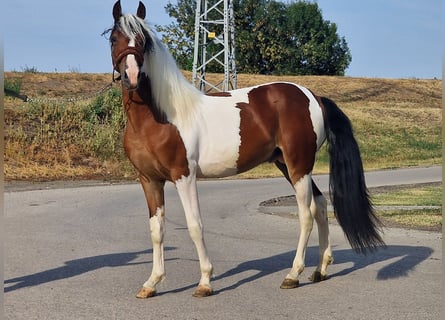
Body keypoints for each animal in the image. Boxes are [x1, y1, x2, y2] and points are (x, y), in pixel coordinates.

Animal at [106, 1, 382, 298]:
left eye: (143, 41)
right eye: (114, 39)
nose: (131, 77)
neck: (162, 117)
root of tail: (313, 97)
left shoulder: (184, 176)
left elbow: (195, 225)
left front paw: (205, 282)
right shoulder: (149, 180)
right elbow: (157, 230)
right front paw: (152, 283)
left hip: (298, 166)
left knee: (306, 213)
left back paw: (293, 274)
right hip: (289, 165)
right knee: (319, 205)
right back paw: (320, 269)